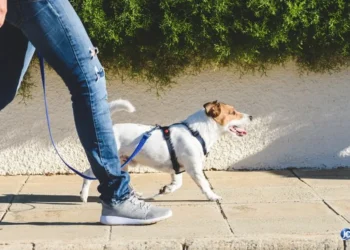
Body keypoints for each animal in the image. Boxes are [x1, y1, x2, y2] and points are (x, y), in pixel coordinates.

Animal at [79, 99, 252, 201]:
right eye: (232, 112)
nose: (251, 116)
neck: (196, 132)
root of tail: (110, 129)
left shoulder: (177, 168)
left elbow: (177, 183)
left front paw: (167, 189)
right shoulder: (194, 168)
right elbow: (204, 184)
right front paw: (213, 196)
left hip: (123, 163)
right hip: (109, 162)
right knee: (88, 174)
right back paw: (84, 195)